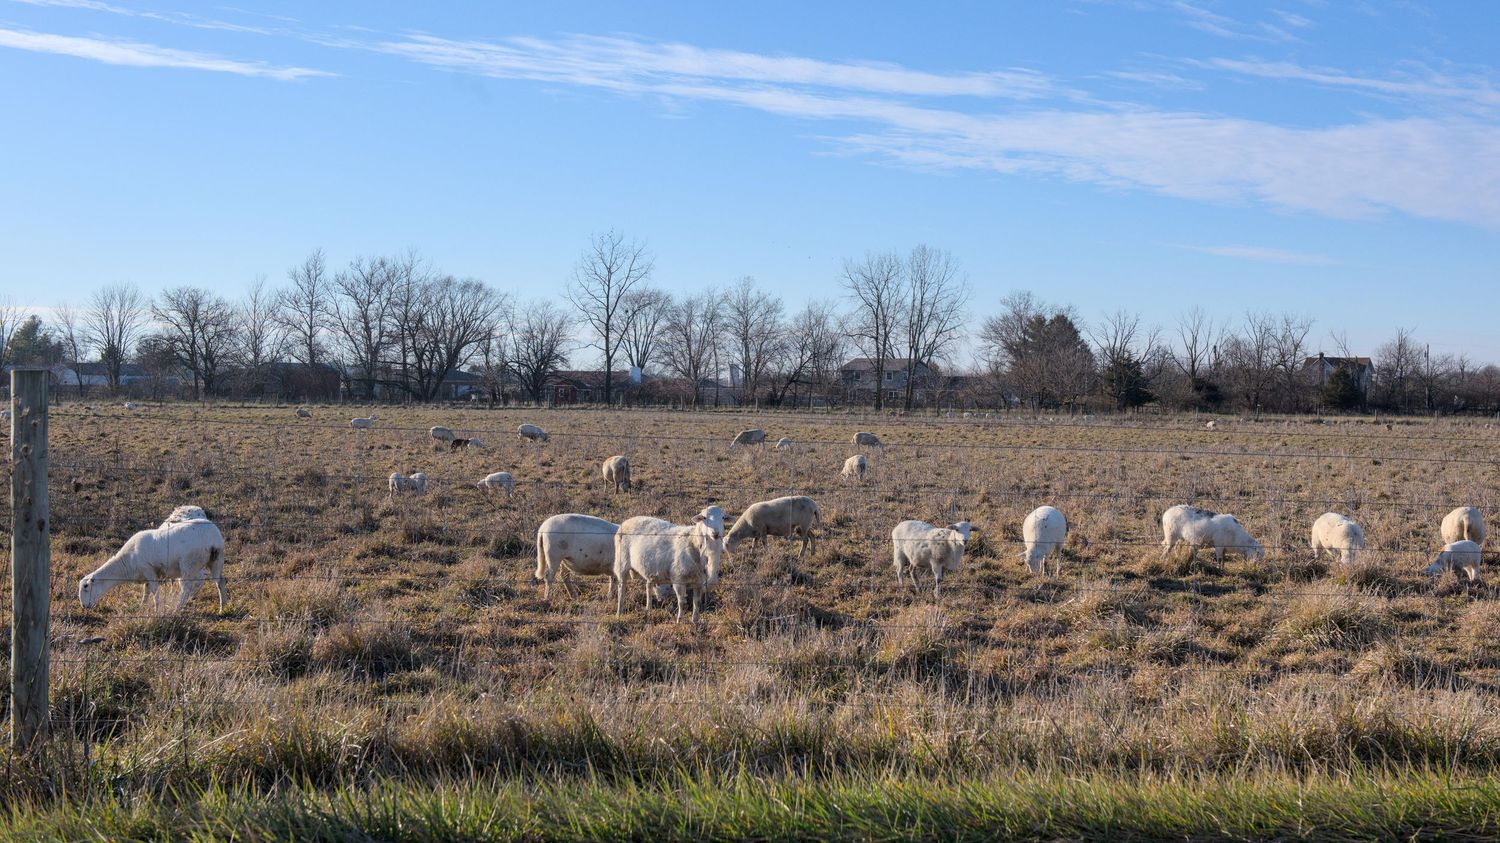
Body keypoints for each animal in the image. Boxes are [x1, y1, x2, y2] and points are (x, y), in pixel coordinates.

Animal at [78, 507, 227, 612]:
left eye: (86, 587)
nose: (84, 606)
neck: (127, 562)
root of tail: (213, 538)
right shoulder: (146, 575)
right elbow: (146, 591)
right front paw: (141, 606)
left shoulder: (149, 570)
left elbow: (154, 591)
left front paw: (156, 609)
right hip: (216, 559)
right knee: (220, 581)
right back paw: (222, 607)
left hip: (189, 564)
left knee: (186, 588)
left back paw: (178, 608)